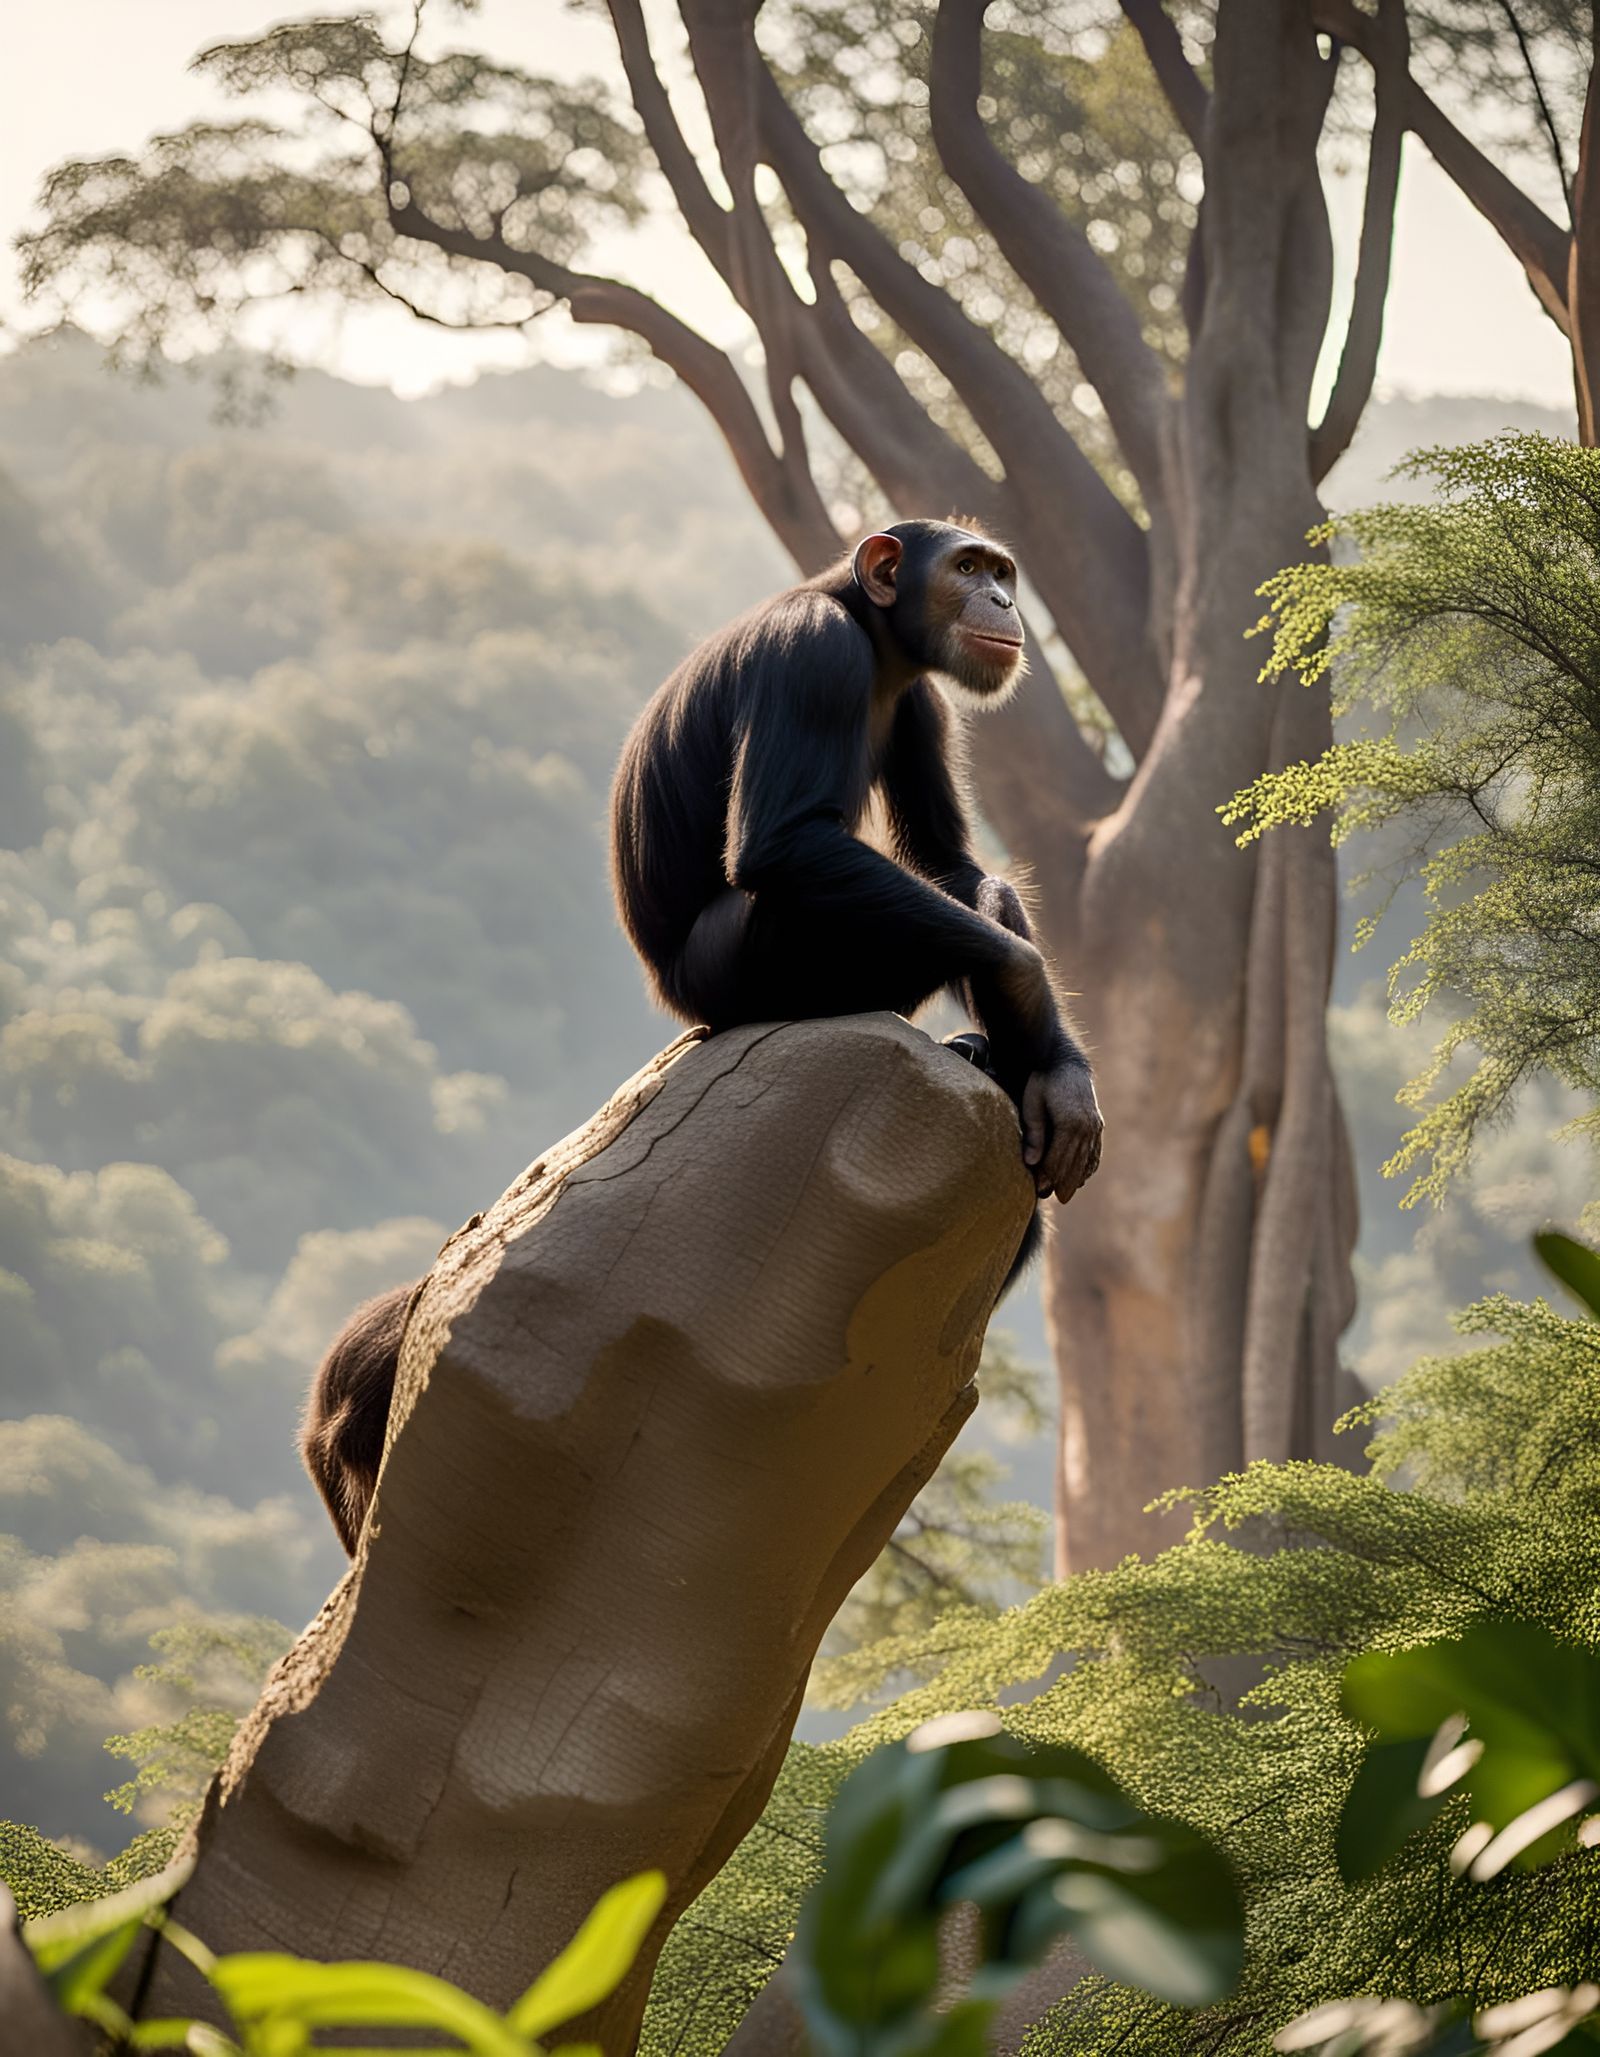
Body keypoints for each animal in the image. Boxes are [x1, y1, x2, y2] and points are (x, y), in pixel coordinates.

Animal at [301, 519, 1102, 1554]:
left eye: (1000, 569)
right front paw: (1025, 985)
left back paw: (1001, 1066)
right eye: (968, 569)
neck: (868, 629)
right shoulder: (814, 659)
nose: (1004, 599)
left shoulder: (924, 703)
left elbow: (950, 859)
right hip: (766, 964)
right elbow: (790, 845)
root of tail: (685, 1009)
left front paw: (1063, 1074)